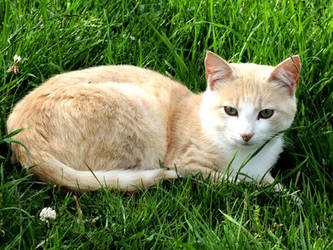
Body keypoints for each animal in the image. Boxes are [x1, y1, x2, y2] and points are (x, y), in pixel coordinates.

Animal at [6, 51, 300, 193]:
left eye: (265, 114)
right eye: (230, 110)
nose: (246, 135)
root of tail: (22, 138)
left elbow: (270, 182)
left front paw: (288, 195)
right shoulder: (187, 164)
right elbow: (233, 180)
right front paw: (271, 191)